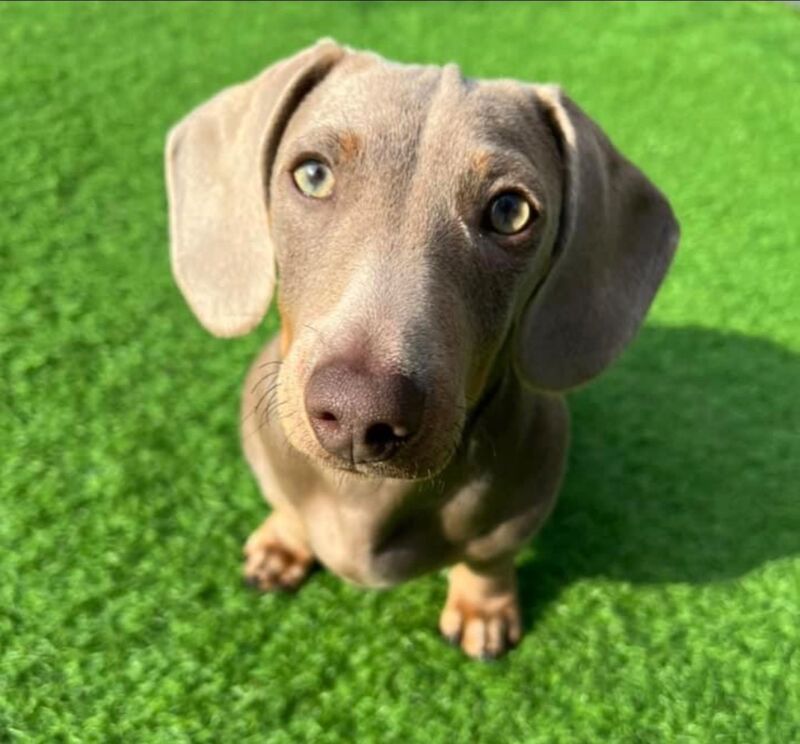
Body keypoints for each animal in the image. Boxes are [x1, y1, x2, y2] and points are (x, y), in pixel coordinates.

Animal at [166, 39, 680, 656]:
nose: (360, 414)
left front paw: (484, 609)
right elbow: (288, 506)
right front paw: (283, 541)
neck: (364, 496)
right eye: (312, 174)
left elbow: (487, 561)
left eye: (511, 211)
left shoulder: (522, 501)